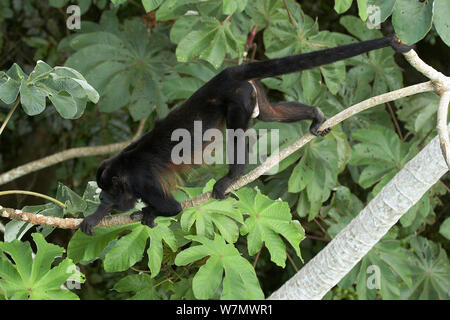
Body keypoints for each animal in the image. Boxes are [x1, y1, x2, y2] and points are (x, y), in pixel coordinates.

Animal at [80, 35, 412, 235]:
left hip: (238, 99)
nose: (105, 198)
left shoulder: (142, 181)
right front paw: (94, 217)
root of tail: (228, 73)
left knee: (238, 134)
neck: (124, 169)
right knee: (270, 114)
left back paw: (232, 176)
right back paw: (315, 115)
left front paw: (149, 213)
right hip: (253, 93)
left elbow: (171, 207)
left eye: (110, 190)